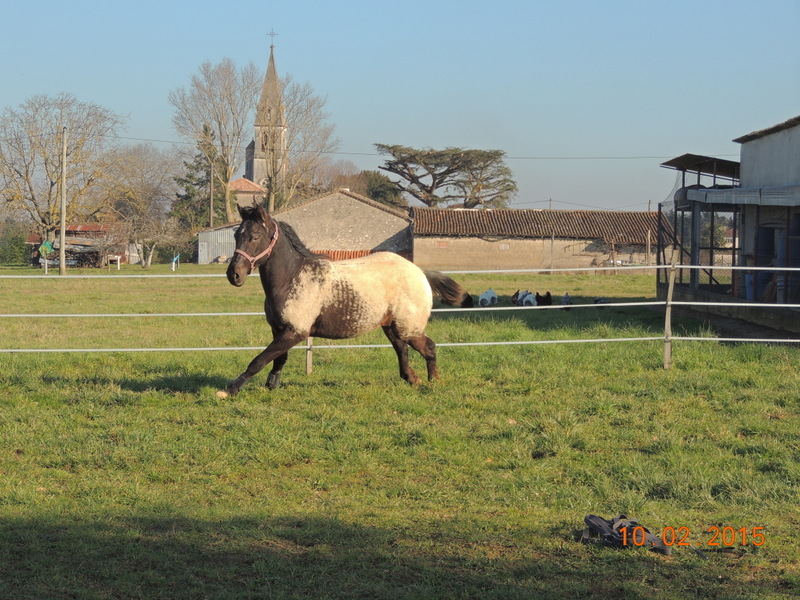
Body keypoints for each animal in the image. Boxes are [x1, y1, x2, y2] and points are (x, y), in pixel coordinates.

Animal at [216, 203, 472, 398]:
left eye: (255, 236)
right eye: (237, 235)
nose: (234, 275)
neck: (293, 278)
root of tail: (419, 272)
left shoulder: (295, 332)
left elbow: (259, 360)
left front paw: (229, 390)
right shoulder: (278, 329)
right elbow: (278, 360)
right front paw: (271, 387)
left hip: (408, 328)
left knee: (428, 348)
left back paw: (432, 381)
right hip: (391, 327)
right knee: (402, 351)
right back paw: (413, 379)